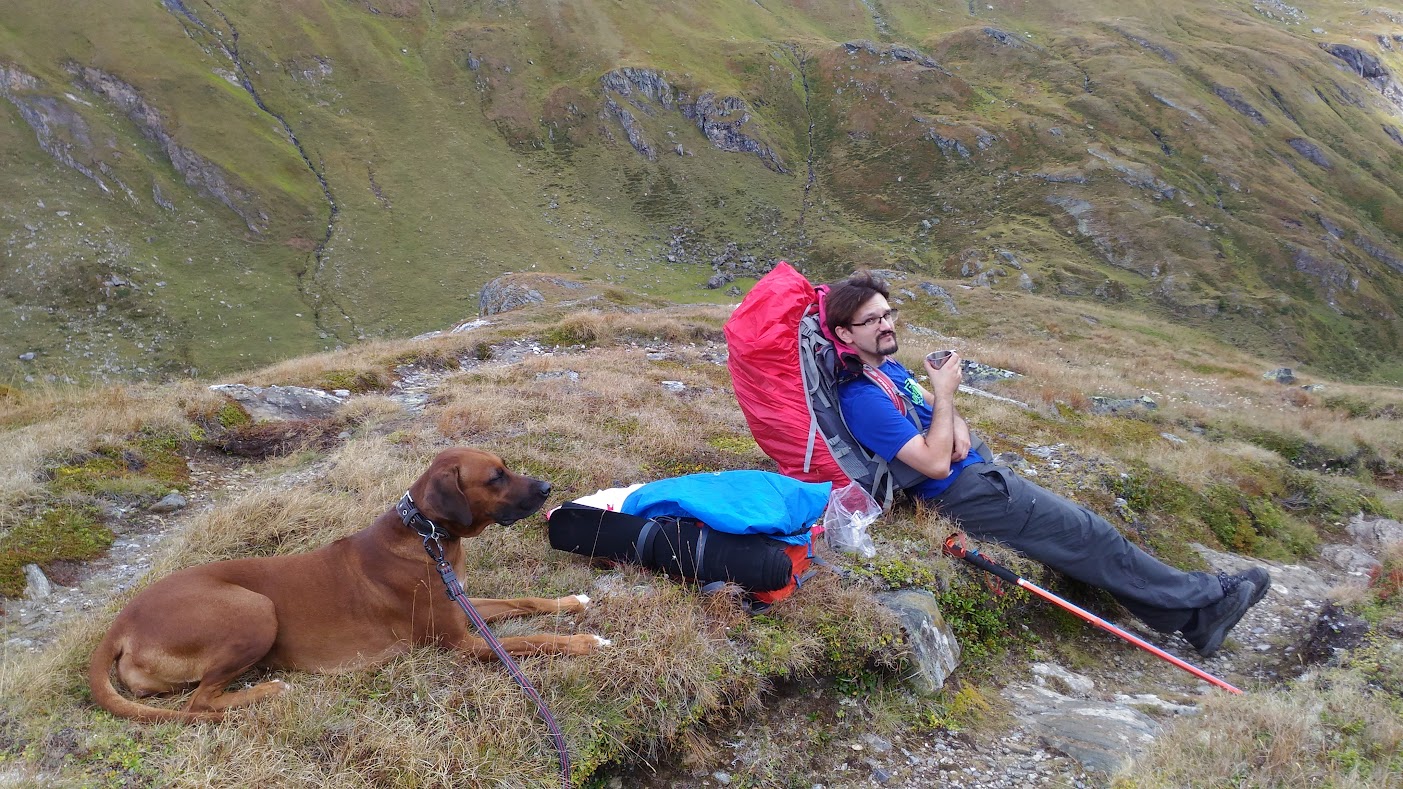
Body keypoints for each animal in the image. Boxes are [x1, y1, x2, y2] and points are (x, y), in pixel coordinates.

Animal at [87, 446, 608, 724]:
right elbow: (534, 640)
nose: (547, 489)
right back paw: (270, 691)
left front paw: (573, 600)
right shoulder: (459, 643)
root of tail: (121, 623)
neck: (427, 535)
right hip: (254, 610)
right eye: (496, 476)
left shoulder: (463, 603)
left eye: (506, 466)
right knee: (200, 703)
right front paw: (585, 642)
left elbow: (524, 600)